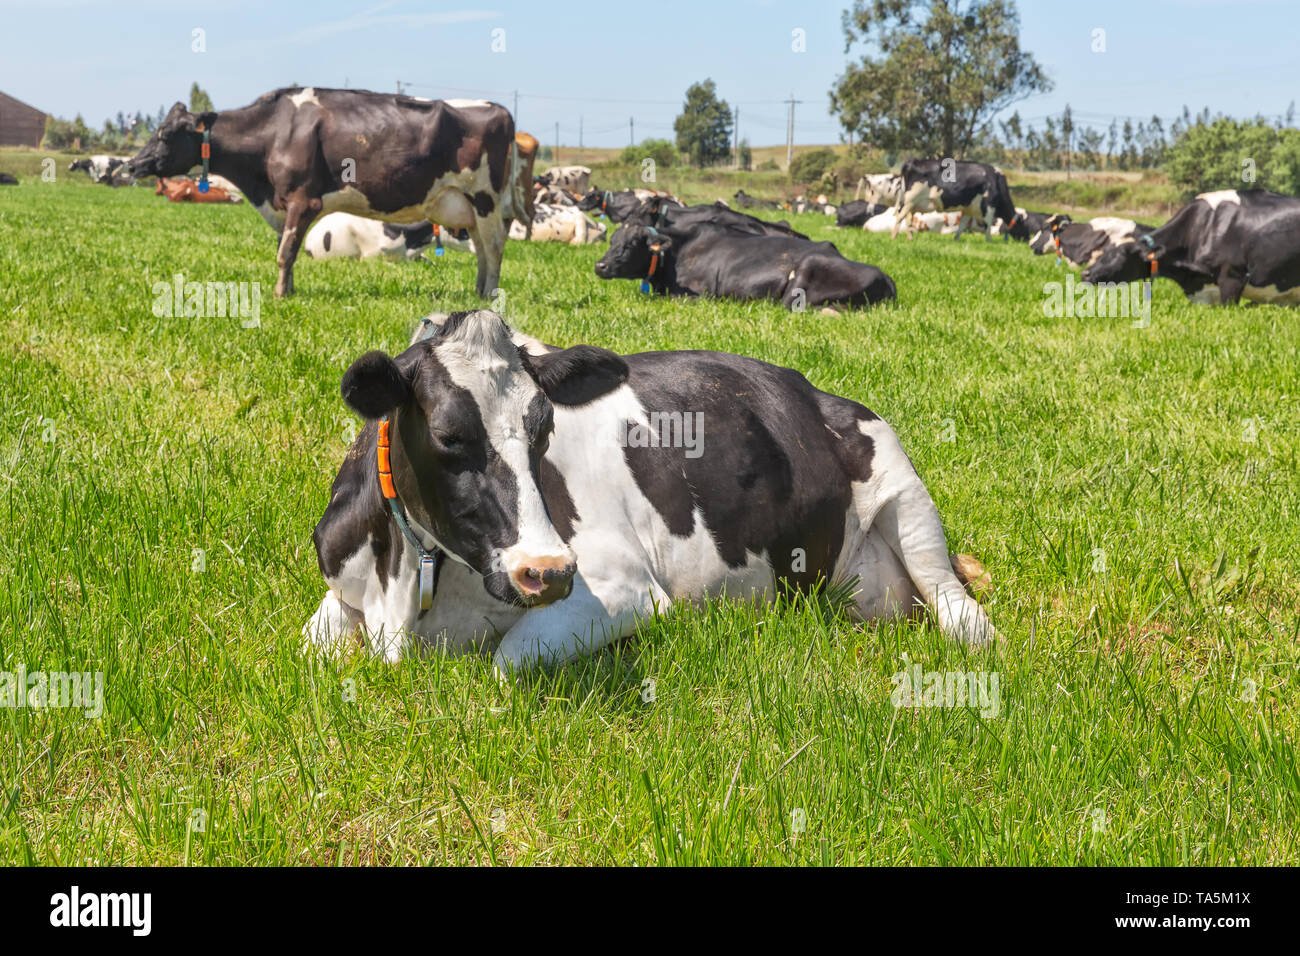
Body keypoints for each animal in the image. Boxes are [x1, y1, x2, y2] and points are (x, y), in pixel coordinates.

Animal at [127, 89, 531, 298]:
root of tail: (500, 109)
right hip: (468, 207)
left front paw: (279, 295)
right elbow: (286, 250)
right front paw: (289, 290)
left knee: (494, 248)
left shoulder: (303, 199)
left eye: (165, 134)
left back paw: (490, 295)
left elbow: (285, 251)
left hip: (486, 199)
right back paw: (477, 291)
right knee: (482, 249)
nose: (131, 166)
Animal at [303, 309, 996, 669]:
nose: (547, 570)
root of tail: (816, 392)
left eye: (544, 426)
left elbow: (507, 661)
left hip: (906, 498)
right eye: (449, 435)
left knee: (963, 615)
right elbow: (308, 647)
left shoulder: (624, 589)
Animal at [594, 223, 895, 310]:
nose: (600, 265)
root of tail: (884, 275)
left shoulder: (701, 293)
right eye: (612, 240)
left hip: (805, 274)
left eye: (631, 244)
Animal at [890, 159, 1020, 241]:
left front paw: (956, 239)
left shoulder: (968, 208)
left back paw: (910, 238)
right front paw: (989, 241)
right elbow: (988, 225)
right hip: (910, 199)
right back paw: (894, 237)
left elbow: (962, 225)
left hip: (912, 204)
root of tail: (913, 161)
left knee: (908, 219)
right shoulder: (989, 205)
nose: (1024, 241)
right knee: (900, 216)